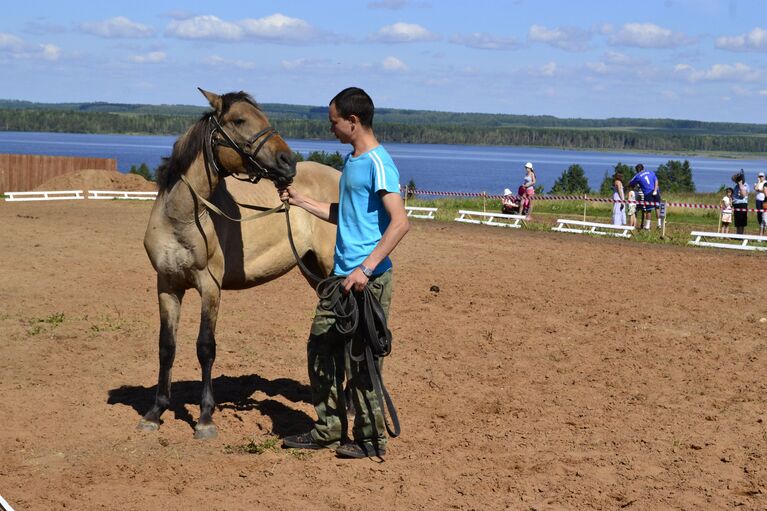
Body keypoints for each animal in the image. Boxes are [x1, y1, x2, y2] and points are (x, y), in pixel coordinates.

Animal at [139, 89, 342, 440]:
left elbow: (205, 347)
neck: (182, 219)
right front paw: (156, 412)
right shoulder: (167, 285)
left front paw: (205, 419)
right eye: (239, 120)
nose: (287, 161)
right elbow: (167, 346)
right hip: (316, 274)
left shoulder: (210, 287)